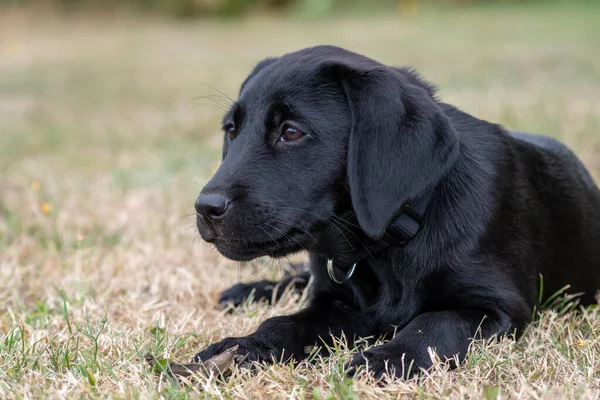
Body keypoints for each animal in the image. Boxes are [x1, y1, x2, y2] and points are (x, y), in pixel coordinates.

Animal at [193, 46, 600, 378]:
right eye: (231, 130)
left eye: (291, 132)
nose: (205, 208)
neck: (392, 244)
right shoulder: (337, 304)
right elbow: (283, 323)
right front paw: (244, 346)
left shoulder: (499, 306)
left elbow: (434, 324)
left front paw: (388, 358)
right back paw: (251, 289)